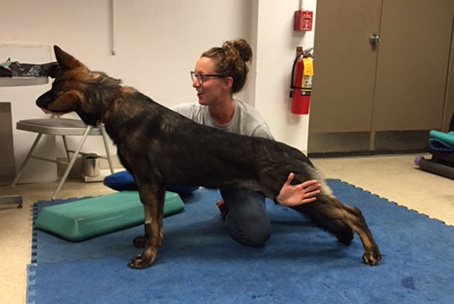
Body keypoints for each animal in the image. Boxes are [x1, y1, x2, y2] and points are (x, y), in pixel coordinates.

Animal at [37, 46, 382, 270]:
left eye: (53, 90)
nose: (39, 99)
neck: (112, 102)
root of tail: (296, 151)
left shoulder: (148, 185)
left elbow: (151, 224)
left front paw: (148, 256)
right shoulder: (155, 188)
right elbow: (154, 223)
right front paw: (151, 244)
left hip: (302, 195)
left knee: (354, 212)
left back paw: (371, 252)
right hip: (301, 198)